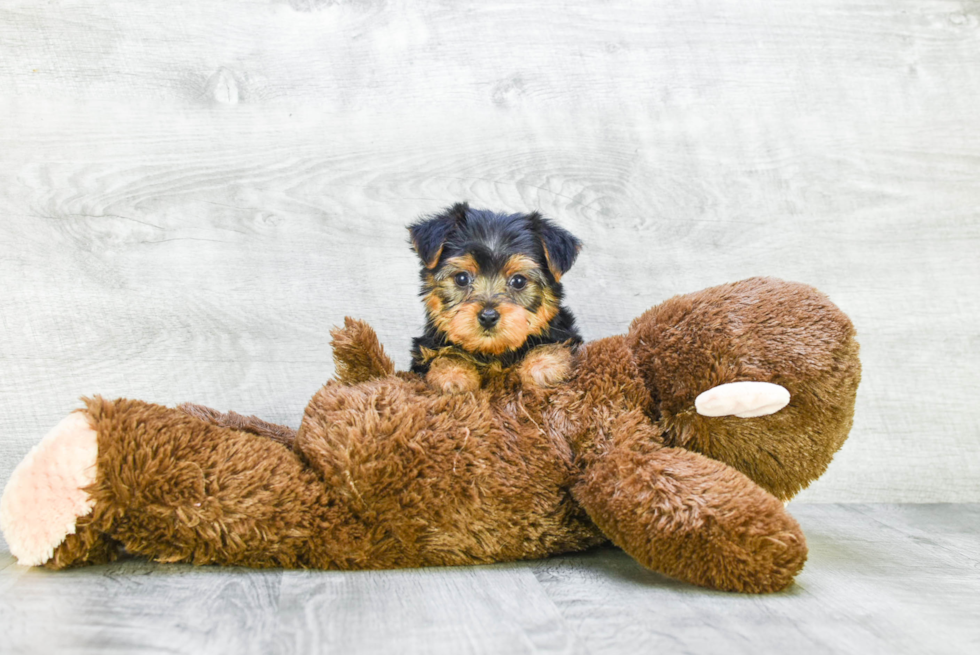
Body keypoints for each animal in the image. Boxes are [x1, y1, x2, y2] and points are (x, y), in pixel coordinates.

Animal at [408, 202, 580, 392]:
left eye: (518, 281)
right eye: (462, 278)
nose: (488, 317)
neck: (493, 352)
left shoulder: (563, 334)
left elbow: (553, 346)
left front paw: (543, 366)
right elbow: (442, 355)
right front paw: (453, 374)